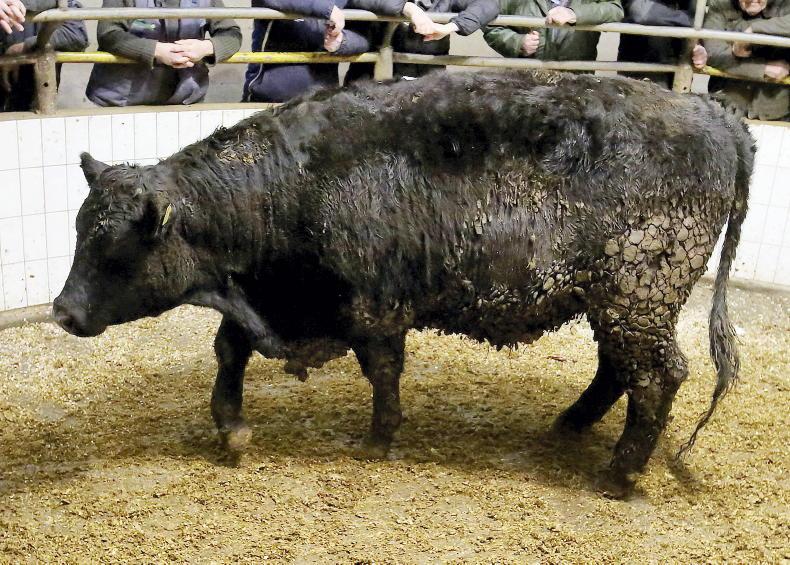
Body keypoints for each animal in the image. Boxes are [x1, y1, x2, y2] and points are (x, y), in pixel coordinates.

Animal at [53, 70, 753, 498]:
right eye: (80, 231)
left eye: (113, 252)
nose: (62, 311)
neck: (288, 187)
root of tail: (711, 110)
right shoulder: (268, 299)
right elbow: (230, 350)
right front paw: (232, 429)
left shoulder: (374, 307)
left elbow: (382, 371)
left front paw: (379, 439)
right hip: (616, 302)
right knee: (618, 369)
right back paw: (571, 425)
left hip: (638, 296)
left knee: (657, 376)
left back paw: (619, 474)